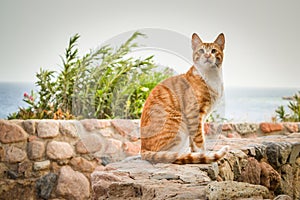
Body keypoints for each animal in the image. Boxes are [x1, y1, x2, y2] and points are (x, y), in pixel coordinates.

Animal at [141, 32, 230, 164]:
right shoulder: (194, 113)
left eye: (213, 51)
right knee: (168, 156)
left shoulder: (199, 118)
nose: (207, 55)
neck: (211, 77)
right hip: (178, 124)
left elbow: (194, 140)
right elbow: (199, 139)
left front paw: (196, 154)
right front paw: (202, 154)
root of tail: (142, 149)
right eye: (201, 51)